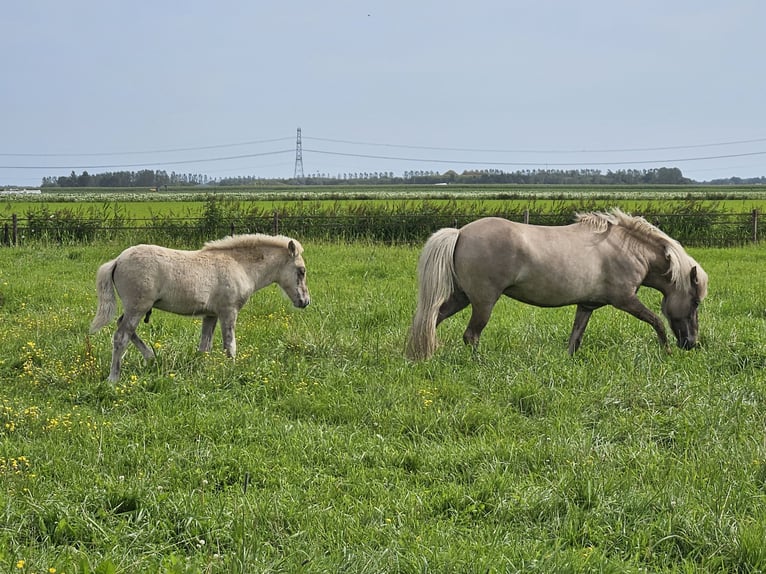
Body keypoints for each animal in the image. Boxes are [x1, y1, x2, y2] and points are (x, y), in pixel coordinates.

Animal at [87, 234, 308, 382]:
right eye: (302, 271)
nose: (305, 301)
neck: (240, 265)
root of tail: (117, 260)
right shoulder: (228, 311)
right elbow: (230, 346)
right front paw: (231, 371)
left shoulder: (210, 315)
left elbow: (204, 348)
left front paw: (202, 370)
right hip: (138, 307)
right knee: (121, 336)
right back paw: (113, 379)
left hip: (135, 308)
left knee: (124, 328)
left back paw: (151, 357)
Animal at [404, 212, 712, 362]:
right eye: (695, 301)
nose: (691, 344)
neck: (628, 248)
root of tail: (460, 233)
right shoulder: (625, 300)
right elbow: (657, 322)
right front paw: (667, 352)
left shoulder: (587, 305)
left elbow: (575, 338)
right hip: (483, 302)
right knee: (471, 335)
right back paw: (477, 363)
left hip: (462, 297)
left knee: (431, 319)